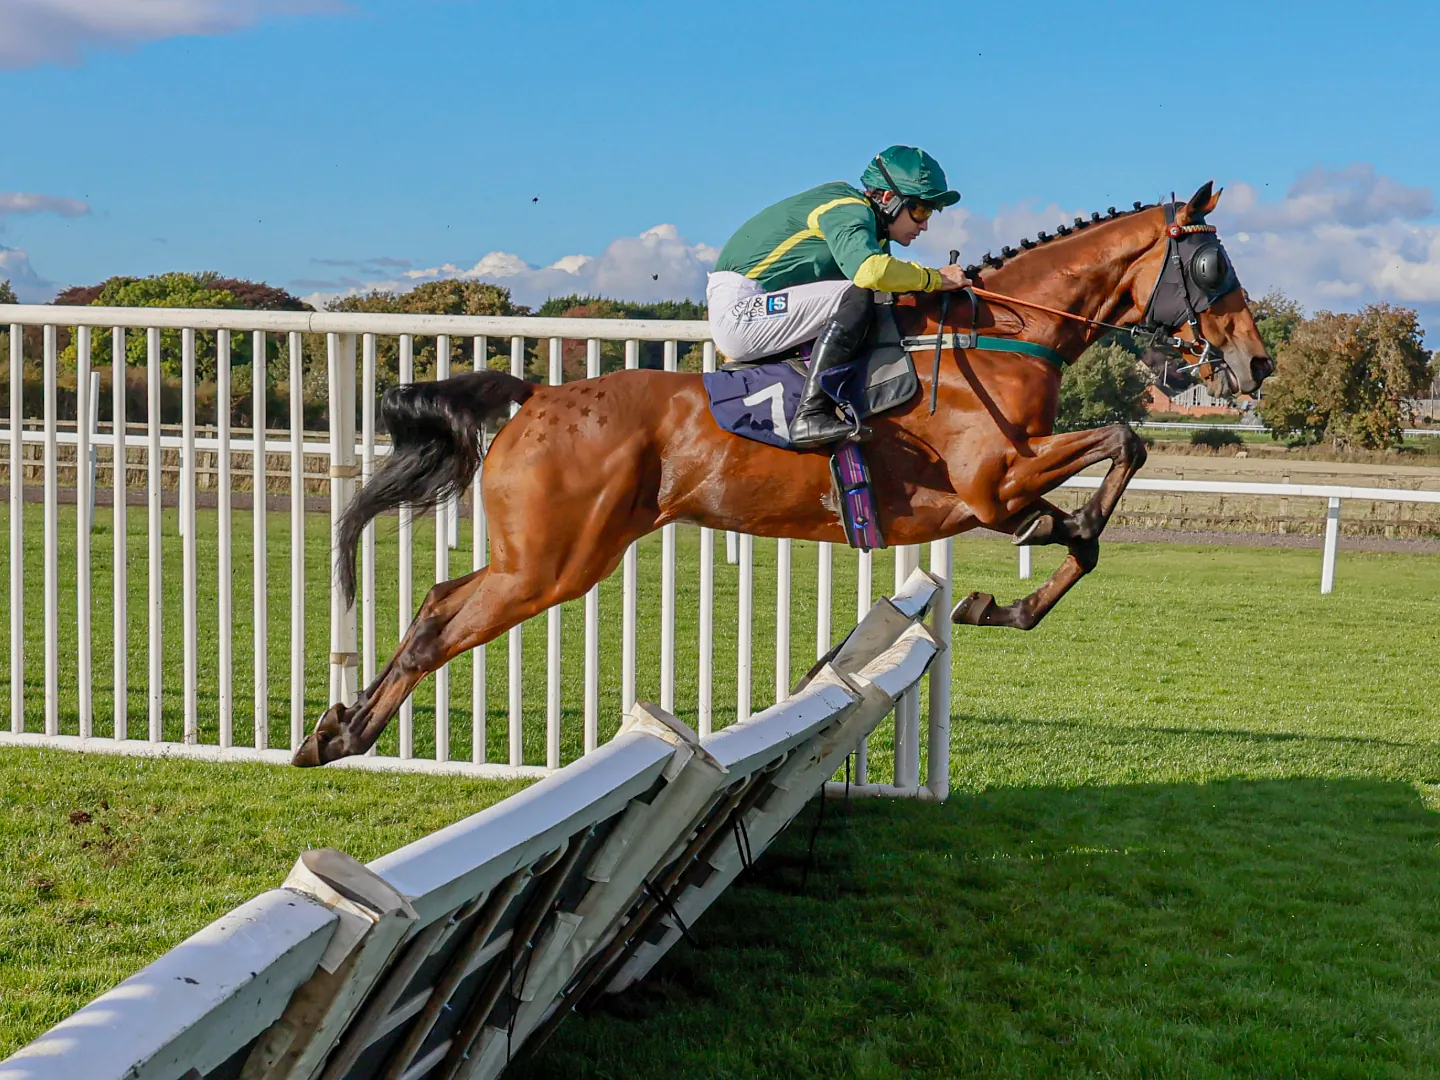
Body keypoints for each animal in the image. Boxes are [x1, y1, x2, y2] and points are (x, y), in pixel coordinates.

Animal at [293, 181, 1272, 767]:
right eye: (1212, 262)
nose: (1257, 361)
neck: (1002, 335)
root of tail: (535, 395)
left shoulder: (996, 490)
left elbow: (1091, 517)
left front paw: (1006, 594)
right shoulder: (990, 478)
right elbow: (1122, 443)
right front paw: (1017, 585)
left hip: (545, 559)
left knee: (436, 600)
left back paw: (340, 725)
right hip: (552, 563)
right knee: (438, 623)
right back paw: (341, 734)